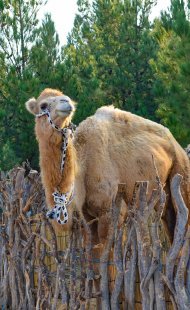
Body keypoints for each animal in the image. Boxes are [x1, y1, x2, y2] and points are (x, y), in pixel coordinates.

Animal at [26, 88, 190, 302]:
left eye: (63, 97)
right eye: (43, 105)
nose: (66, 102)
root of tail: (175, 143)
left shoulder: (110, 212)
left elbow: (108, 261)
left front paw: (112, 296)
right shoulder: (88, 218)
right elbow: (94, 258)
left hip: (181, 173)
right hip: (164, 195)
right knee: (172, 228)